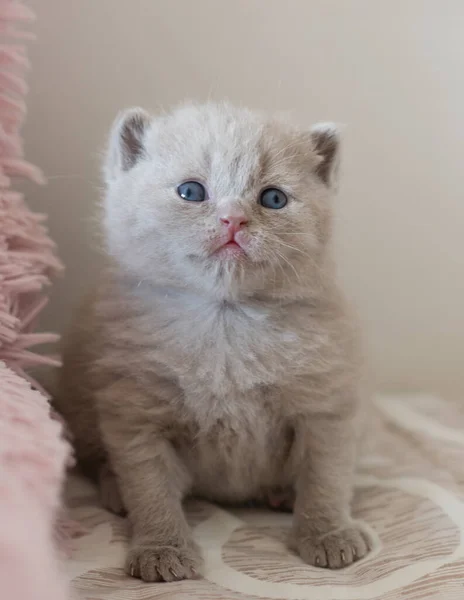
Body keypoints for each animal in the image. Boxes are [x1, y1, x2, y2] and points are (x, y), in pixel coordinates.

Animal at [56, 102, 372, 580]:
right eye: (191, 191)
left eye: (273, 198)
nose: (234, 218)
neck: (225, 319)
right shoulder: (136, 413)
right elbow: (150, 488)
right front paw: (161, 549)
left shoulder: (325, 405)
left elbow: (326, 476)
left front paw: (328, 533)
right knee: (98, 460)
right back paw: (115, 491)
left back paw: (282, 493)